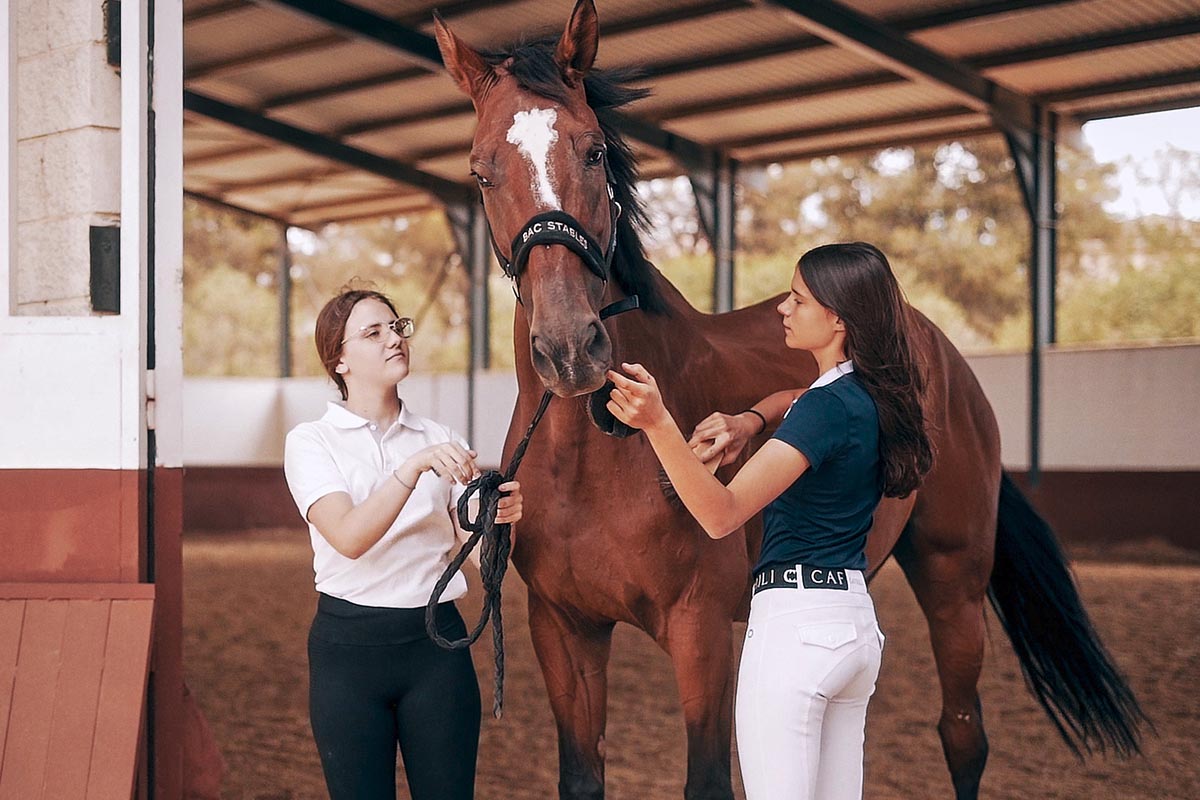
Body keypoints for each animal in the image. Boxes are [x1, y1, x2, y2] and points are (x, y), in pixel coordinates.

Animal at [432, 3, 1142, 796]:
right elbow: (582, 775)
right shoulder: (564, 630)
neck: (593, 459)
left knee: (963, 735)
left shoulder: (703, 633)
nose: (569, 349)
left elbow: (710, 777)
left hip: (954, 581)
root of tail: (935, 347)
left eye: (591, 152)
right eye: (481, 170)